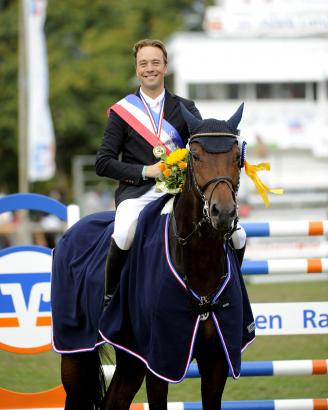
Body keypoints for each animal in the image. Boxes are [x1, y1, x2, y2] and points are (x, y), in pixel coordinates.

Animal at [52, 102, 255, 410]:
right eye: (195, 156)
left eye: (236, 158)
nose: (223, 213)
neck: (199, 261)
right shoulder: (159, 359)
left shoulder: (217, 360)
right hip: (75, 352)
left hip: (130, 354)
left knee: (115, 401)